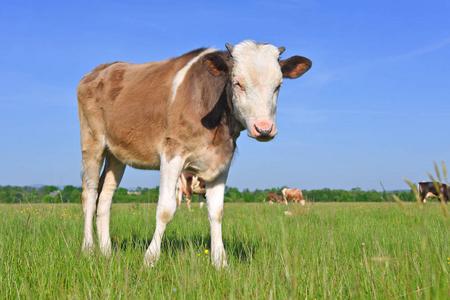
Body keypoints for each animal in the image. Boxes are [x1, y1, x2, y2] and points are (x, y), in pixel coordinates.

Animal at [77, 39, 312, 268]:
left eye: (278, 85)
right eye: (237, 82)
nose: (263, 129)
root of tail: (102, 68)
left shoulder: (221, 163)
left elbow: (216, 212)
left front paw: (220, 263)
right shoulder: (172, 154)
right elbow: (165, 209)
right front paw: (150, 259)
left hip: (116, 153)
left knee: (105, 196)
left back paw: (107, 252)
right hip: (92, 142)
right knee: (90, 194)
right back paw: (88, 249)